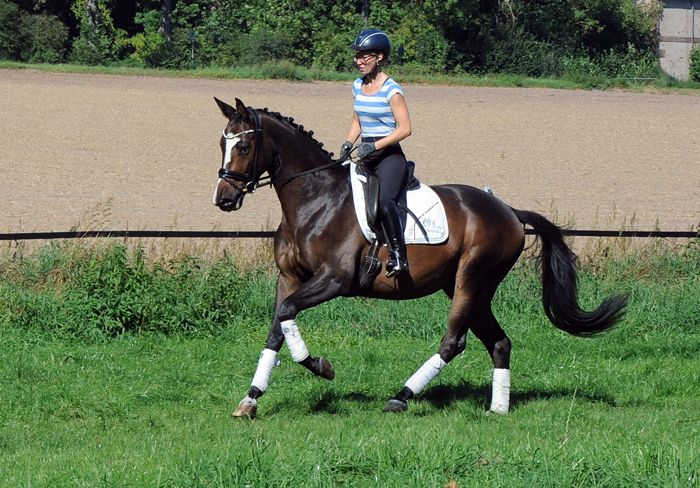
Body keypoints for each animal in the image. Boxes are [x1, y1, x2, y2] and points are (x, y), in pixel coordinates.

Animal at [211, 97, 628, 418]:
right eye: (222, 144)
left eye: (244, 148)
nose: (224, 199)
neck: (314, 200)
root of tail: (509, 210)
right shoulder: (289, 278)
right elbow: (277, 328)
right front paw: (250, 400)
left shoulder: (334, 279)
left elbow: (287, 317)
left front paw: (322, 368)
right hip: (469, 288)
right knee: (499, 342)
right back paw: (497, 408)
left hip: (470, 279)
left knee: (454, 341)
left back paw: (402, 397)